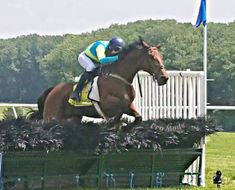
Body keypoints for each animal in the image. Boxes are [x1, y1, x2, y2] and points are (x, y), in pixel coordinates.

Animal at [33, 37, 169, 125]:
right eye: (151, 57)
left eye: (161, 56)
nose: (164, 77)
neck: (119, 77)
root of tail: (52, 90)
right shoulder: (107, 104)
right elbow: (121, 107)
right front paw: (114, 122)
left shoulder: (130, 105)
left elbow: (138, 116)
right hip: (52, 116)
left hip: (74, 118)